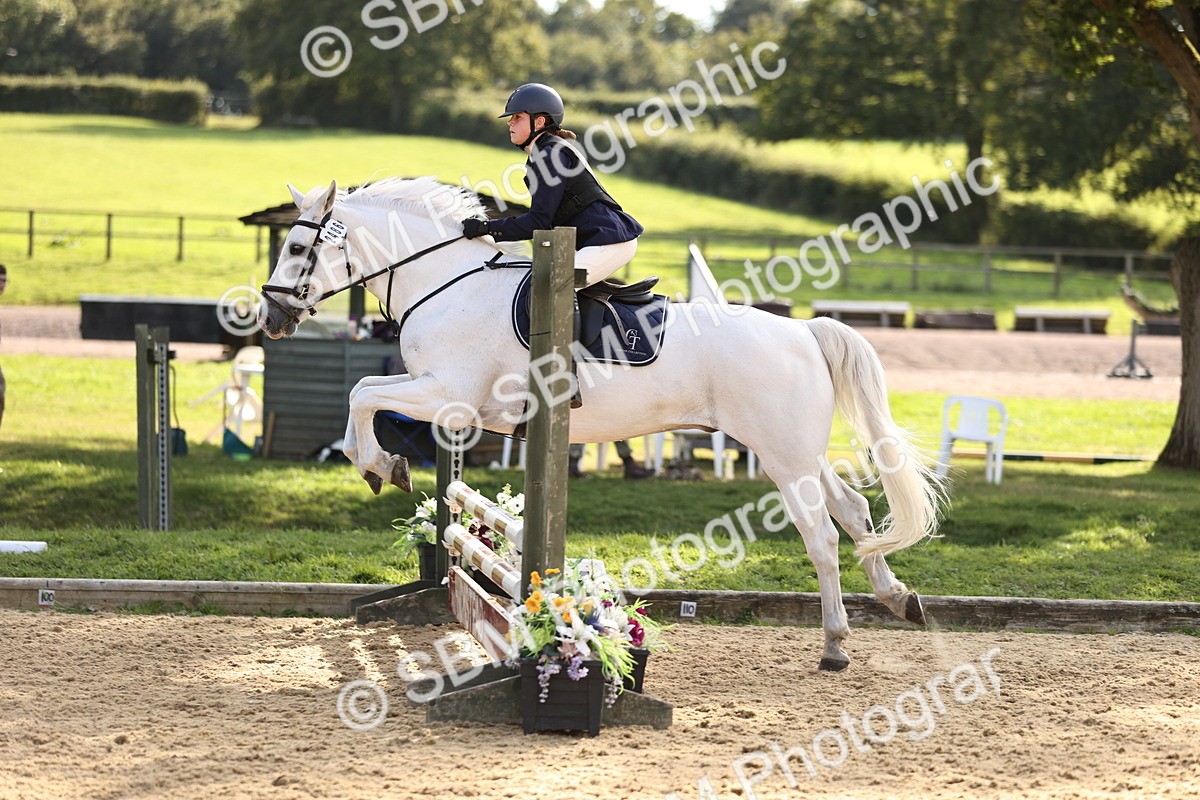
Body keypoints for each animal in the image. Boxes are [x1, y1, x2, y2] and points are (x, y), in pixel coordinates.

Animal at [258, 177, 945, 671]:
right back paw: (899, 600)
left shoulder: (448, 395)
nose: (269, 319)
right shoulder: (443, 398)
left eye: (295, 249)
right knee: (854, 510)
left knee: (822, 536)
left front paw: (381, 465)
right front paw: (386, 467)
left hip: (782, 453)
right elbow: (365, 395)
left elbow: (362, 394)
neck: (446, 285)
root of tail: (804, 330)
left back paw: (834, 645)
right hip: (796, 450)